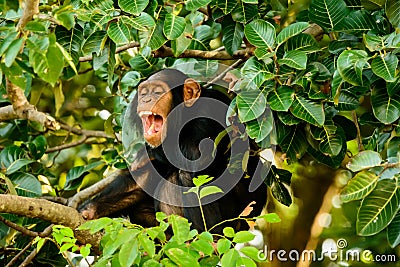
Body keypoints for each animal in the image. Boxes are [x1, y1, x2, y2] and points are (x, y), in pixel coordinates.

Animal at [80, 69, 268, 232]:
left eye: (157, 92)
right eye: (144, 93)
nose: (146, 99)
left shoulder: (206, 117)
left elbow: (196, 160)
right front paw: (90, 210)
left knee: (188, 176)